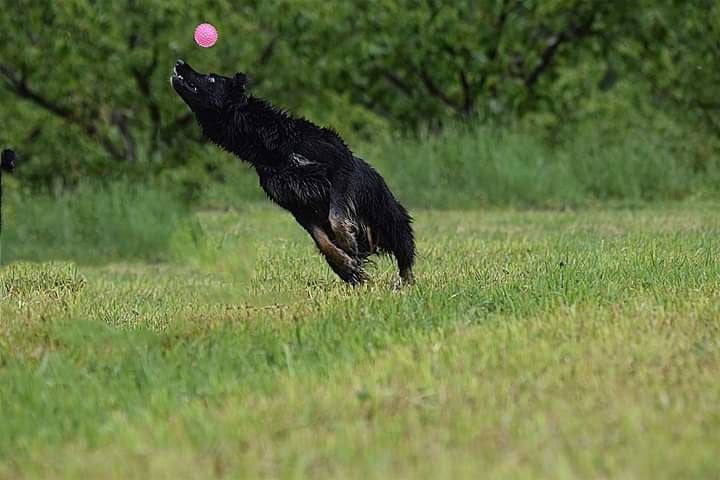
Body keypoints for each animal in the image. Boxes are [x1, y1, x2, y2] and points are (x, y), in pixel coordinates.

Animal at [171, 59, 414, 284]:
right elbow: (322, 240)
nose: (179, 62)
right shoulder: (296, 204)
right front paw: (346, 265)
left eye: (212, 79)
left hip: (391, 220)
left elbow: (335, 216)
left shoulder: (339, 165)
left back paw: (404, 284)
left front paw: (347, 241)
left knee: (405, 256)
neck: (271, 146)